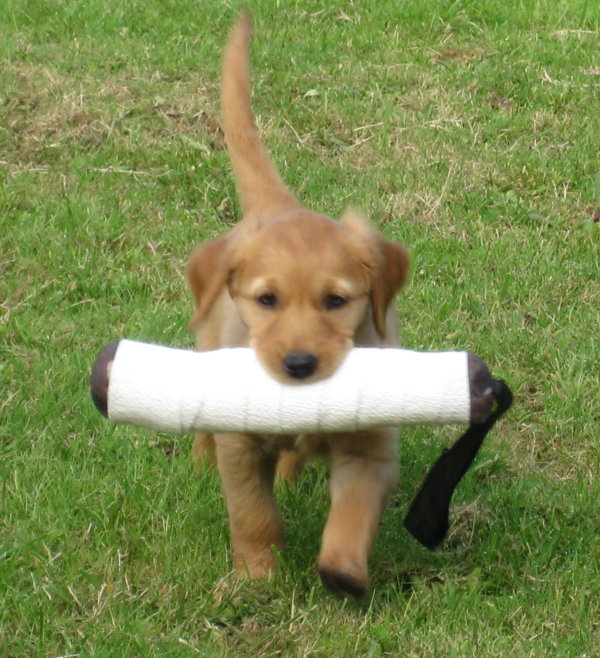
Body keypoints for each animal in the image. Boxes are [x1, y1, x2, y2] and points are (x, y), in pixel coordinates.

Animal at [190, 12, 410, 596]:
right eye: (266, 299)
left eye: (336, 301)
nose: (299, 365)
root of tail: (276, 204)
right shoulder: (241, 446)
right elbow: (253, 513)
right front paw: (257, 574)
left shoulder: (369, 448)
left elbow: (353, 512)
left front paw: (343, 571)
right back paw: (200, 462)